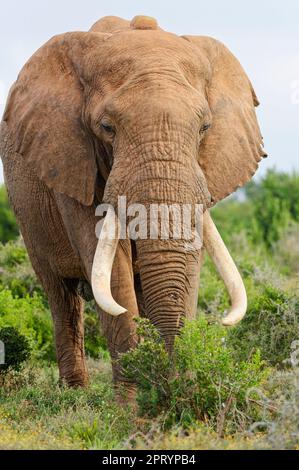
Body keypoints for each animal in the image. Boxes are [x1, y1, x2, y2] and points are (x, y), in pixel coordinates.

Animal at [0, 14, 268, 394]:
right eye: (106, 127)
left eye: (205, 127)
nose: (172, 388)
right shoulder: (71, 162)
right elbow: (111, 268)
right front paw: (134, 404)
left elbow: (191, 258)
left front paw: (177, 392)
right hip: (28, 217)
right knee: (61, 295)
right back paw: (74, 393)